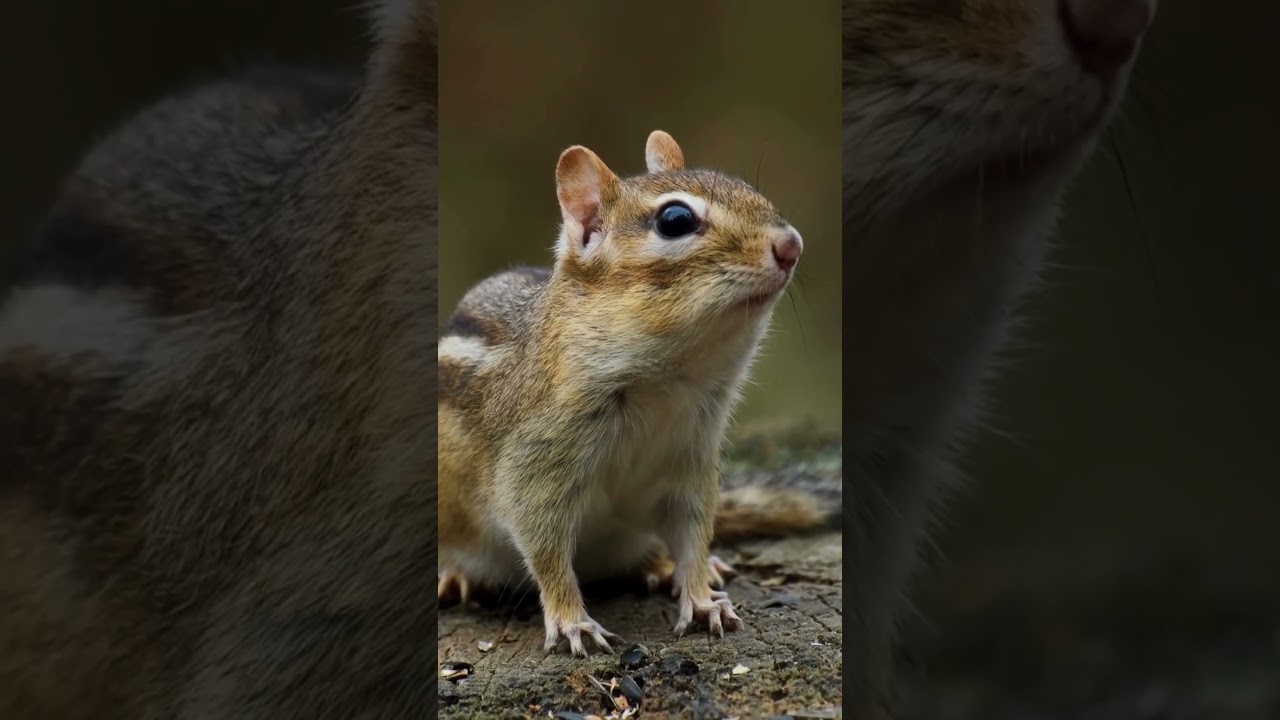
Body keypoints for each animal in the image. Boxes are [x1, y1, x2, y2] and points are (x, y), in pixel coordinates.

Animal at [436, 130, 830, 656]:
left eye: (746, 186)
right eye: (675, 220)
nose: (791, 245)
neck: (667, 384)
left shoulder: (691, 465)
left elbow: (694, 533)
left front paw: (700, 596)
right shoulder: (531, 468)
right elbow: (546, 552)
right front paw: (572, 622)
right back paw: (454, 575)